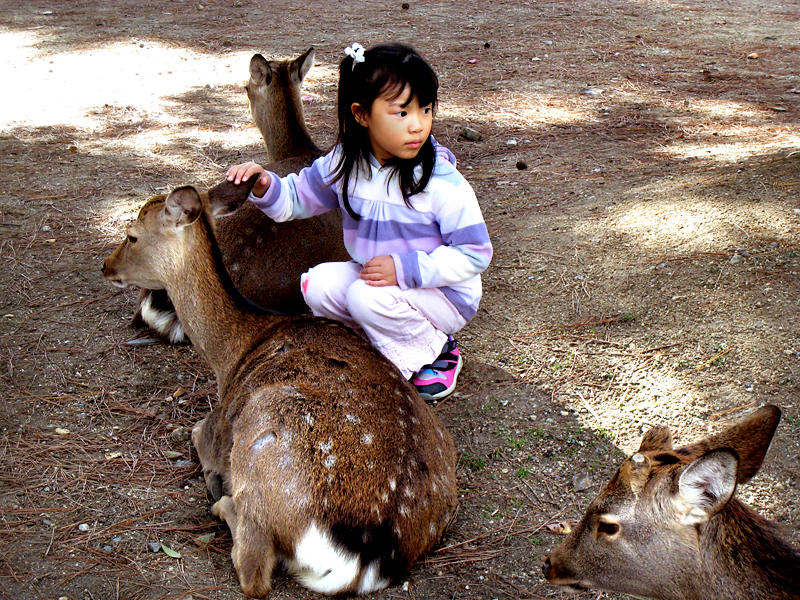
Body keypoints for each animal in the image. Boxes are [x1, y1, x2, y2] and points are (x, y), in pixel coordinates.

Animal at [103, 176, 460, 596]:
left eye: (132, 236)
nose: (107, 266)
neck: (232, 350)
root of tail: (367, 557)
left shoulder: (214, 425)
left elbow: (194, 433)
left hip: (261, 429)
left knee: (253, 568)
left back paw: (221, 502)